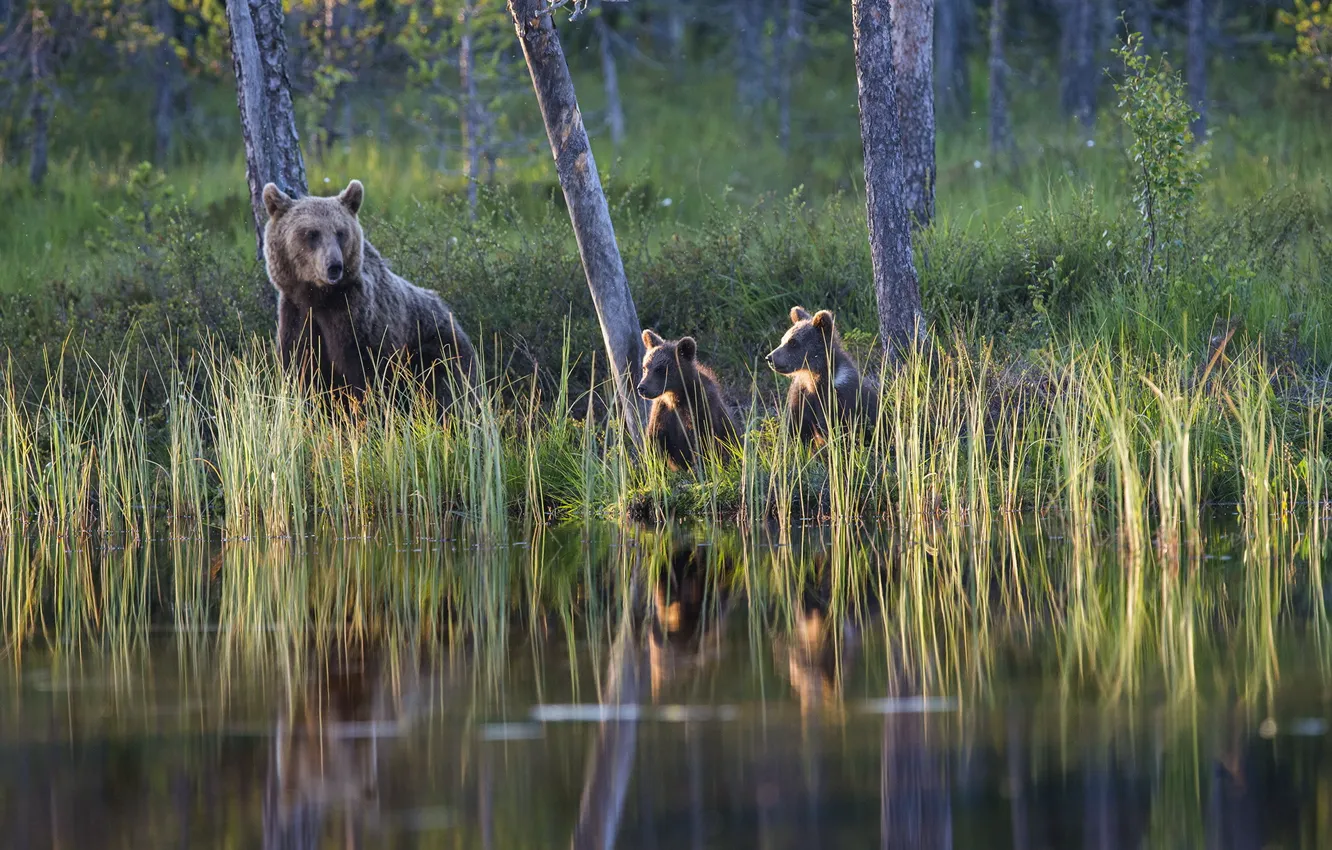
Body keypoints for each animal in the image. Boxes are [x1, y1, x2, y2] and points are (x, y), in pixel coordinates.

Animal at [259, 179, 474, 410]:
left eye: (340, 232)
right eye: (311, 233)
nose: (334, 266)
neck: (318, 298)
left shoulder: (359, 322)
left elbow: (369, 381)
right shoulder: (297, 318)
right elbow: (304, 378)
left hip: (438, 350)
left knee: (447, 391)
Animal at [634, 330, 740, 468]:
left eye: (661, 369)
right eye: (645, 367)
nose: (642, 388)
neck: (676, 396)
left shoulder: (700, 407)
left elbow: (704, 442)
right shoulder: (662, 411)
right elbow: (655, 441)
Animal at [767, 306, 879, 447]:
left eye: (793, 342)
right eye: (783, 339)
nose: (770, 358)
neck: (814, 379)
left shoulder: (837, 399)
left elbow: (836, 432)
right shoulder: (802, 395)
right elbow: (797, 429)